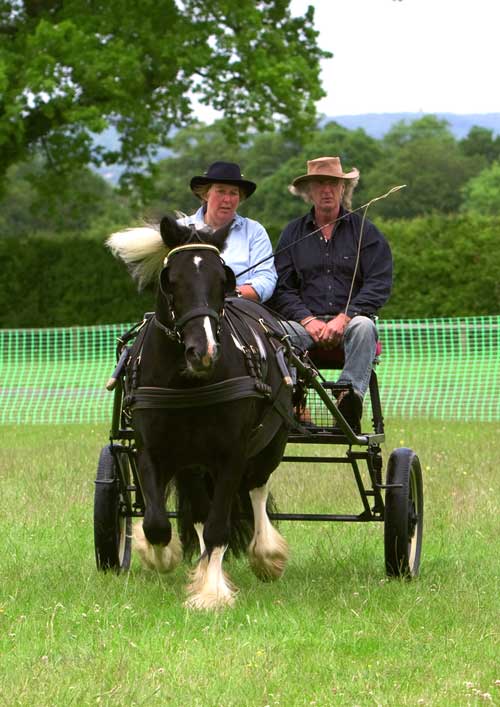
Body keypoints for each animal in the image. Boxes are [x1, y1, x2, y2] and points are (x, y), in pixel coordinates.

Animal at [106, 216, 292, 608]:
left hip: (271, 442)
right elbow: (157, 523)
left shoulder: (232, 454)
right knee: (199, 509)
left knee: (257, 489)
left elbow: (219, 526)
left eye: (223, 280)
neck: (185, 384)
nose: (203, 351)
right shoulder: (151, 450)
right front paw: (161, 555)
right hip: (191, 461)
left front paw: (211, 591)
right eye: (171, 281)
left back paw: (266, 554)